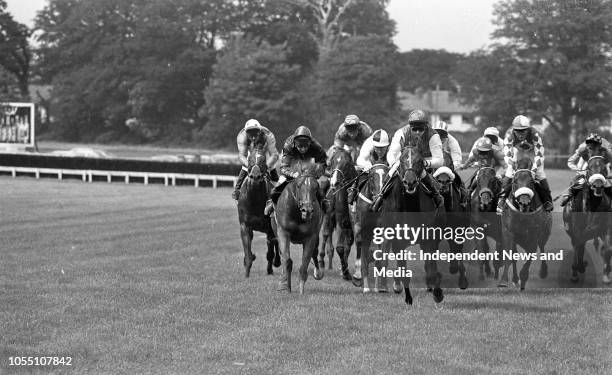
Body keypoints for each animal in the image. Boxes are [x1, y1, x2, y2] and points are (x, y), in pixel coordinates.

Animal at [237, 142, 282, 278]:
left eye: (262, 160)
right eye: (250, 159)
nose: (255, 177)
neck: (255, 201)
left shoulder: (269, 228)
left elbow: (270, 252)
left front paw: (270, 269)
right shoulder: (245, 226)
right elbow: (248, 252)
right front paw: (247, 273)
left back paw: (276, 262)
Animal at [500, 159, 552, 290]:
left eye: (532, 182)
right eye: (514, 181)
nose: (524, 202)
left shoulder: (534, 236)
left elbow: (529, 257)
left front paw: (523, 277)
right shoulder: (508, 232)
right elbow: (510, 256)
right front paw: (504, 280)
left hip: (544, 235)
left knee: (542, 248)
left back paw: (543, 272)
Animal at [564, 154, 612, 284]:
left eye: (604, 168)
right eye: (589, 168)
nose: (598, 186)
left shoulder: (605, 227)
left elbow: (607, 249)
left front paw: (606, 275)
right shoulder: (577, 229)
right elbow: (578, 246)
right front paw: (578, 268)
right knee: (578, 245)